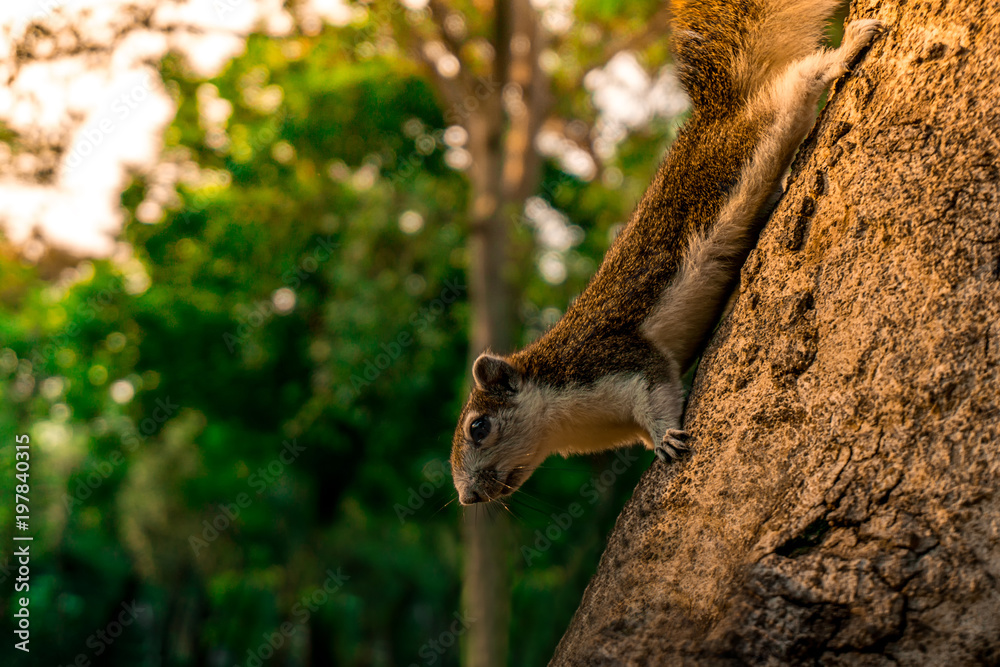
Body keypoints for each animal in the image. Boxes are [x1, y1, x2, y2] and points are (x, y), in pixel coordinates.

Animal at [450, 1, 884, 505]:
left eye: (479, 427)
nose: (468, 497)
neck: (566, 418)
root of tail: (715, 111)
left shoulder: (615, 360)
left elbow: (656, 389)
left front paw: (666, 440)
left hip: (757, 129)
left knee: (796, 83)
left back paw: (850, 45)